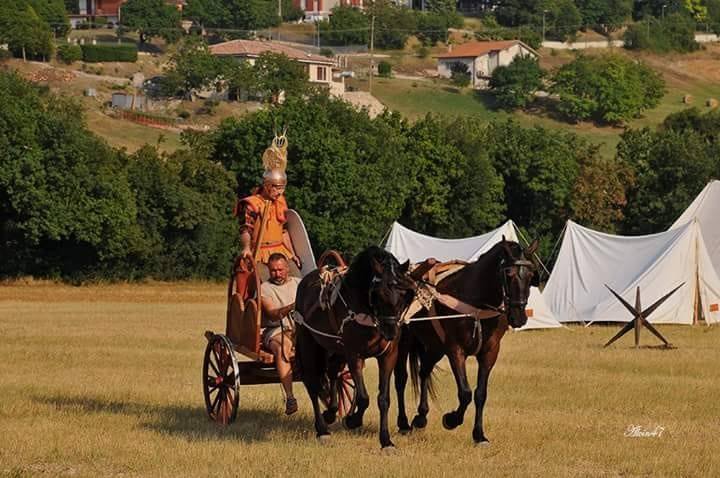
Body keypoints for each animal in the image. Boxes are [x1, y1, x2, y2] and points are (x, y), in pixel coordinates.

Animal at [294, 246, 416, 448]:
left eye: (404, 294)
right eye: (378, 294)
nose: (391, 330)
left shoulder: (388, 355)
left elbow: (383, 399)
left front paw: (386, 440)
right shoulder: (354, 355)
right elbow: (363, 398)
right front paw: (353, 420)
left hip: (335, 348)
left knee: (333, 373)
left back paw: (331, 412)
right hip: (308, 342)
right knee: (312, 383)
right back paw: (322, 429)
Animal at [394, 239, 540, 444]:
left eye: (531, 275)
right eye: (509, 273)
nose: (519, 317)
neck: (476, 303)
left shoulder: (489, 352)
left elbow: (480, 394)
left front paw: (479, 434)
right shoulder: (455, 351)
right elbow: (465, 393)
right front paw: (451, 419)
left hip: (434, 347)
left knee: (424, 372)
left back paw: (421, 416)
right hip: (405, 341)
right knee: (401, 379)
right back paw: (404, 423)